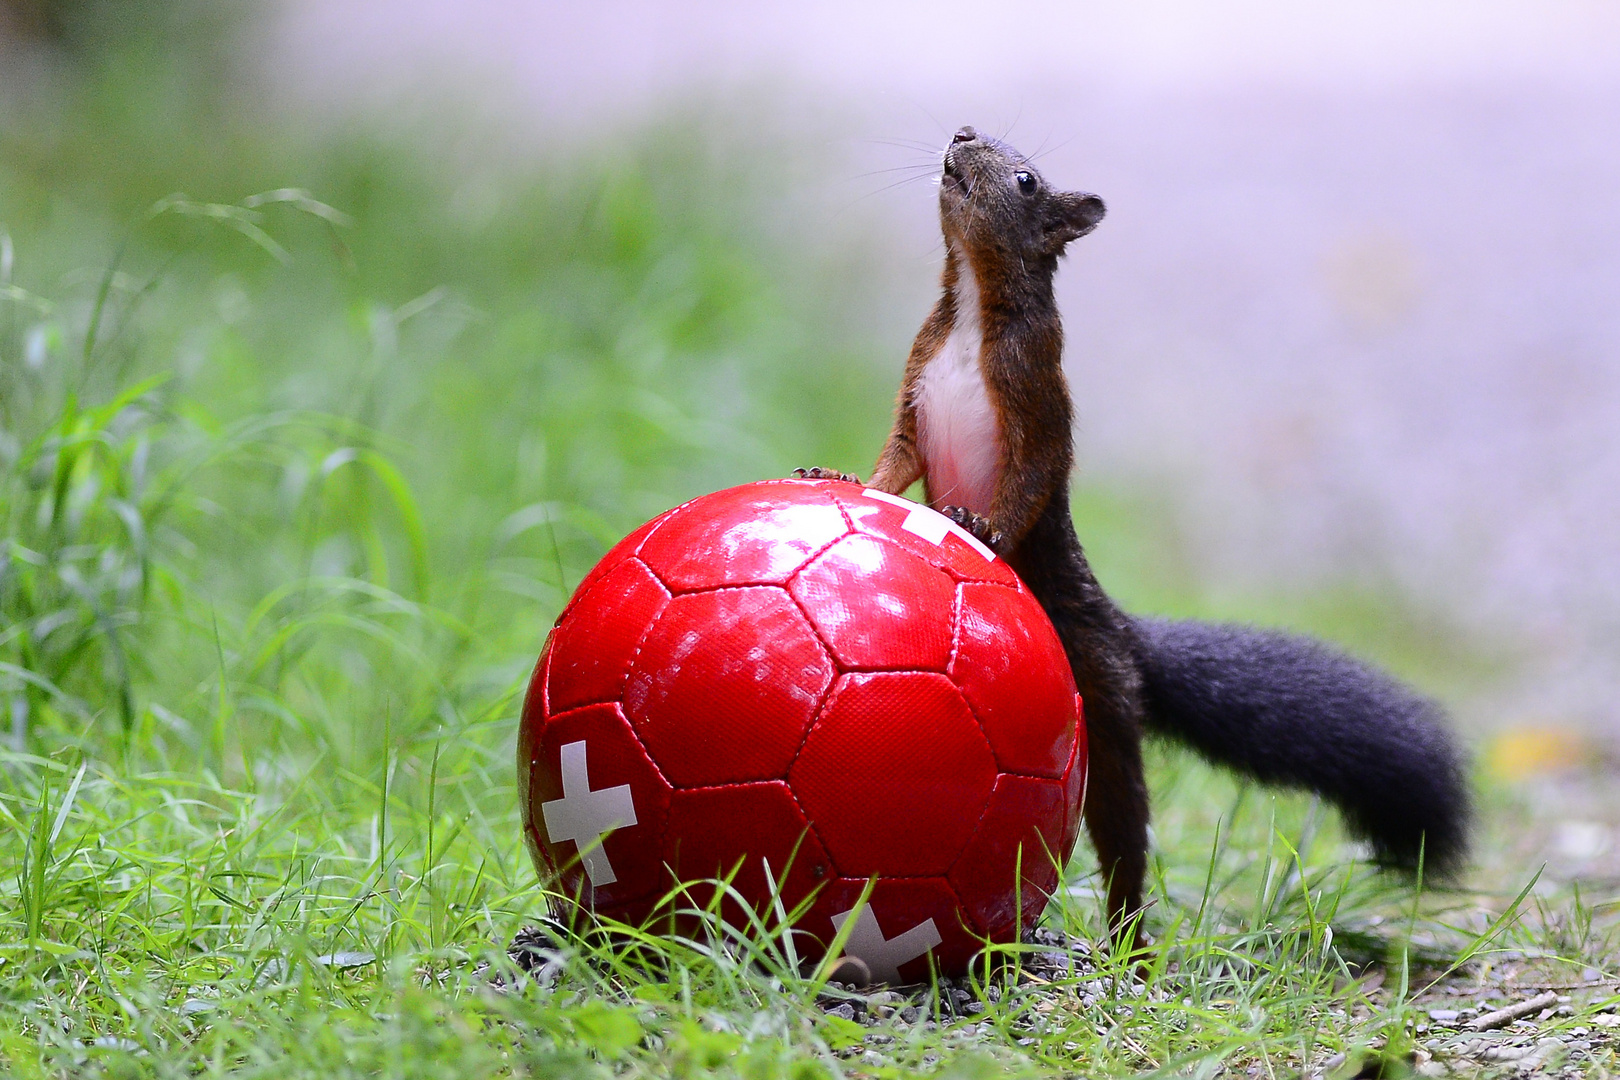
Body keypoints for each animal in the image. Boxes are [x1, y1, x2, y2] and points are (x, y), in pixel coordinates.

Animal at [797, 127, 1470, 945]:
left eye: (1026, 180)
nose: (961, 134)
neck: (971, 310)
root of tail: (1122, 635)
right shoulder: (916, 384)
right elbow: (894, 464)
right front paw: (837, 477)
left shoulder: (1037, 393)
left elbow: (1030, 480)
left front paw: (979, 526)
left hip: (1106, 708)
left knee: (1124, 828)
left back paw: (1130, 943)